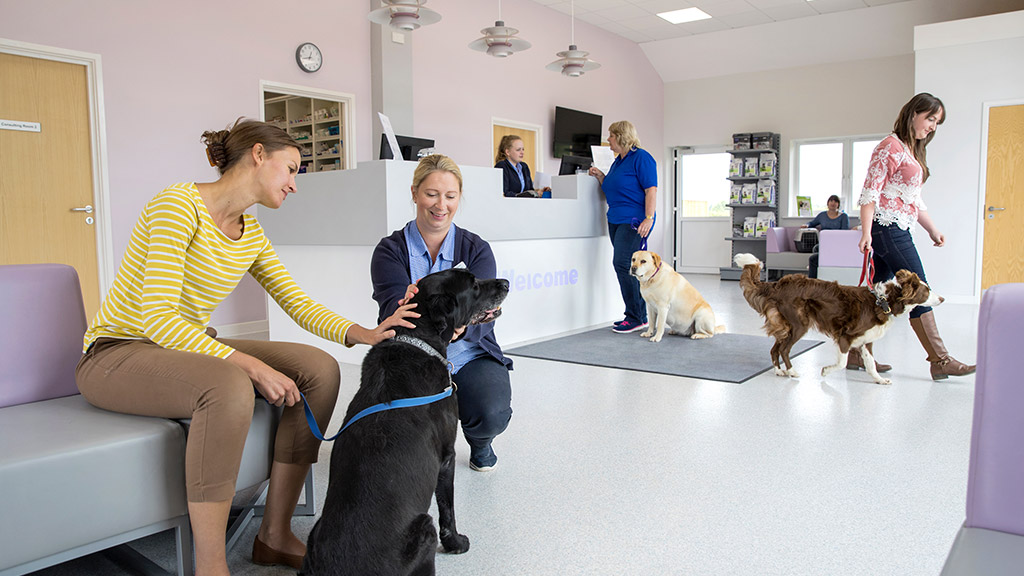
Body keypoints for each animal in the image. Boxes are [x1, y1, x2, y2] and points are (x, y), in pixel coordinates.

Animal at [303, 268, 512, 573]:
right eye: (473, 284)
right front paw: (456, 543)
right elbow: (447, 510)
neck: (418, 338)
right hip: (424, 528)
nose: (506, 283)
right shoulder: (445, 458)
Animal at [737, 253, 942, 383]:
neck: (883, 300)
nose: (942, 299)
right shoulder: (845, 336)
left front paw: (880, 380)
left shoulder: (866, 341)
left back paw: (780, 371)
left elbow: (870, 365)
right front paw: (826, 371)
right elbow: (842, 363)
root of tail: (777, 284)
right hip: (799, 325)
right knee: (784, 349)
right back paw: (792, 371)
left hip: (785, 326)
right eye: (926, 291)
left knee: (775, 349)